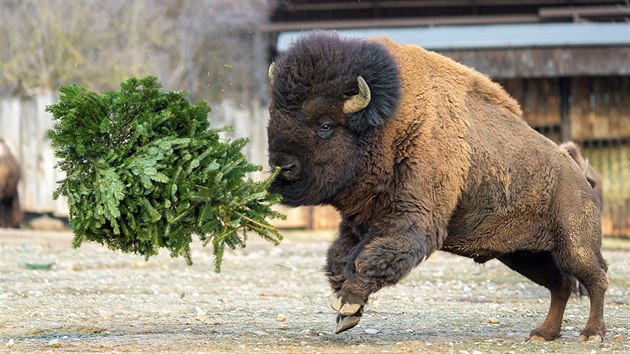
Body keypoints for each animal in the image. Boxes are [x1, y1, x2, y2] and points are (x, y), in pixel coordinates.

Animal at [268, 31, 612, 342]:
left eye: (325, 125)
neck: (392, 128)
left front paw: (347, 306)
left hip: (573, 245)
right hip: (522, 254)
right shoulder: (358, 224)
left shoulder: (414, 223)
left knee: (595, 277)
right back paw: (543, 334)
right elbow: (340, 258)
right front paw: (347, 312)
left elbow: (372, 257)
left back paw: (591, 333)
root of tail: (579, 174)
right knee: (560, 285)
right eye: (275, 116)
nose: (282, 166)